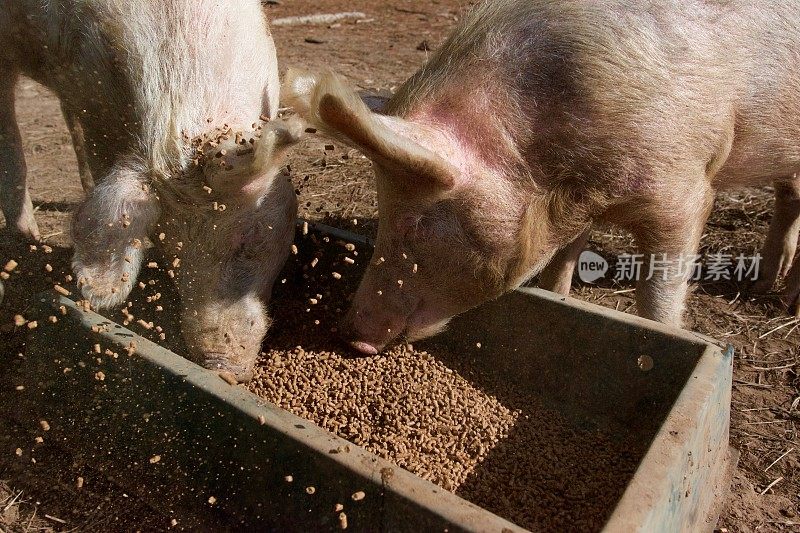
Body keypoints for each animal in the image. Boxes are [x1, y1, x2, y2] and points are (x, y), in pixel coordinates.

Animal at [284, 2, 800, 356]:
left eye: (414, 224)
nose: (349, 334)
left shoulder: (684, 187)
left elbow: (659, 291)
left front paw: (663, 331)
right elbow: (564, 260)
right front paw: (559, 296)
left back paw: (782, 303)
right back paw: (765, 288)